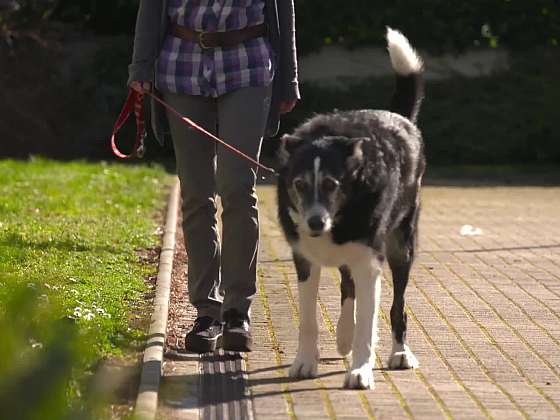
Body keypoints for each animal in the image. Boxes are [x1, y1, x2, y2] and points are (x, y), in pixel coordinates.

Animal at [276, 28, 424, 390]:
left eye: (332, 184)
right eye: (299, 184)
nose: (315, 223)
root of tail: (399, 118)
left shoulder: (369, 260)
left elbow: (368, 324)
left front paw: (360, 370)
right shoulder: (305, 260)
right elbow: (309, 319)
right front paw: (305, 361)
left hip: (401, 245)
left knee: (397, 305)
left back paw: (400, 352)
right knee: (347, 287)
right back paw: (343, 335)